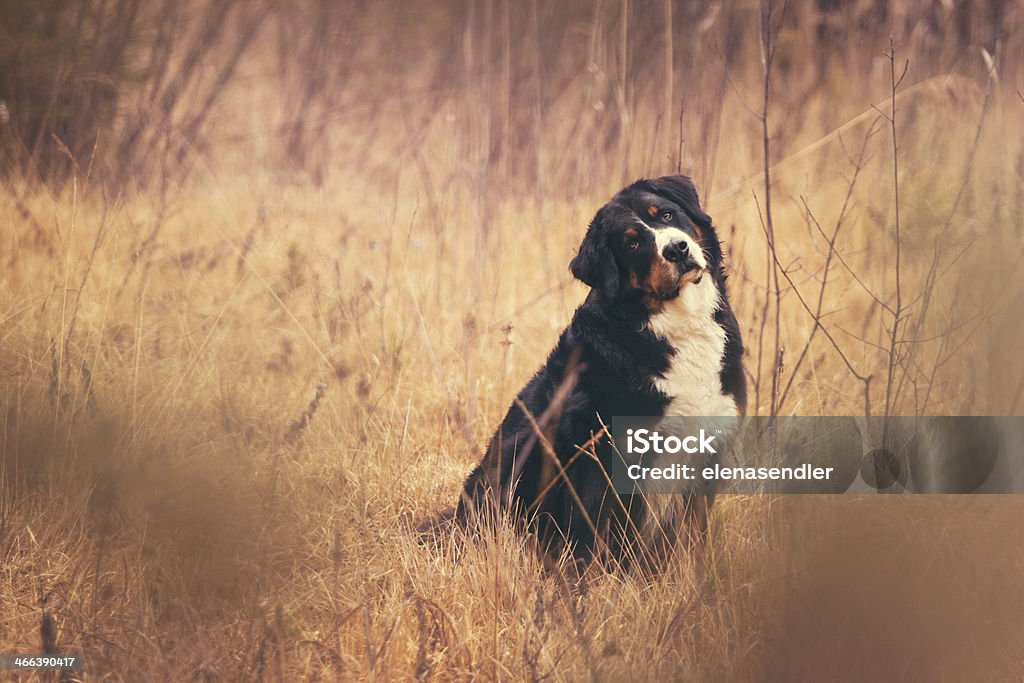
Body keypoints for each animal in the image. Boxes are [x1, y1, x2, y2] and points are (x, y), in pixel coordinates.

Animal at [456, 174, 745, 569]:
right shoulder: (601, 457)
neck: (673, 326)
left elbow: (690, 542)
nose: (677, 249)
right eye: (632, 242)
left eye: (666, 214)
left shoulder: (710, 448)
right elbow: (593, 538)